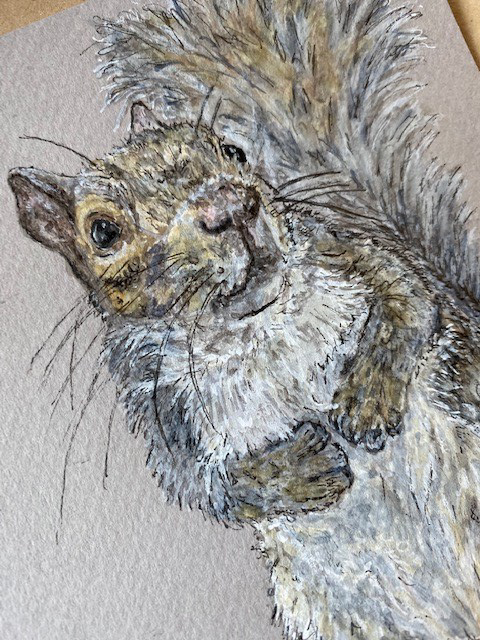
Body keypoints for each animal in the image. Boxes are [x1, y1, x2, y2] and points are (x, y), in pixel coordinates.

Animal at [8, 0, 480, 638]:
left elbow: (410, 299)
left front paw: (367, 397)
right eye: (102, 231)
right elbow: (205, 485)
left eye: (231, 151)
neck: (253, 330)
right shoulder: (166, 415)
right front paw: (304, 469)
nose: (230, 206)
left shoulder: (351, 254)